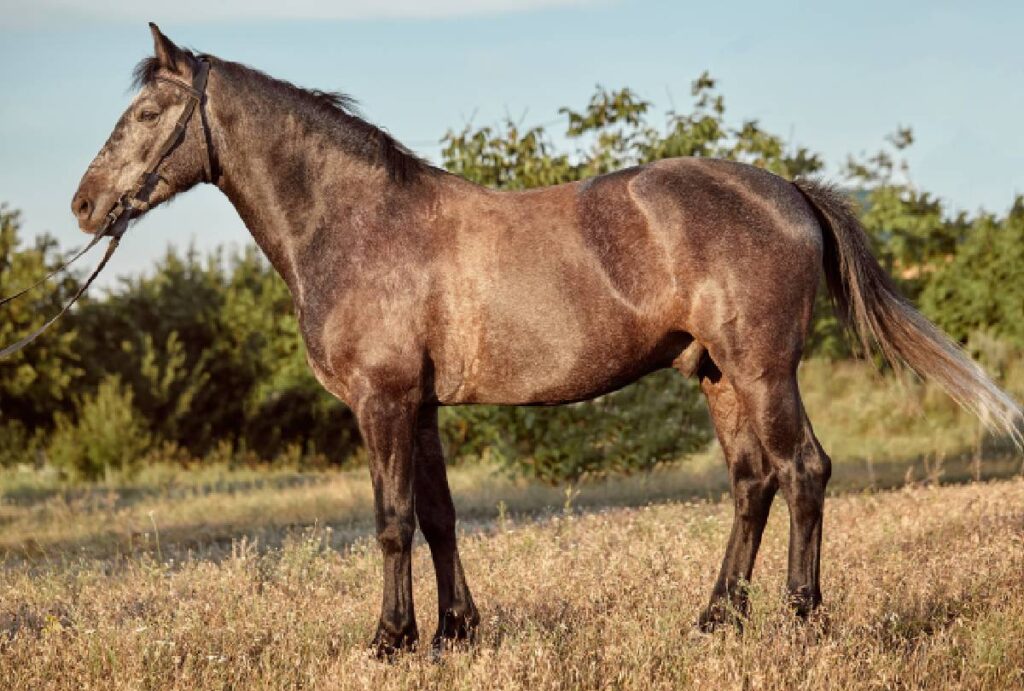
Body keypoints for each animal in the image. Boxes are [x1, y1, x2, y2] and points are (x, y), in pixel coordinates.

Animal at [71, 24, 1022, 657]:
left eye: (149, 111)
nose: (84, 205)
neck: (360, 222)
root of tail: (787, 189)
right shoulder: (419, 406)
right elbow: (439, 516)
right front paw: (455, 633)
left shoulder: (383, 402)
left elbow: (390, 520)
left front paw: (388, 638)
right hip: (719, 376)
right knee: (753, 482)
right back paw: (716, 618)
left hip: (763, 371)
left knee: (804, 472)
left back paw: (800, 619)